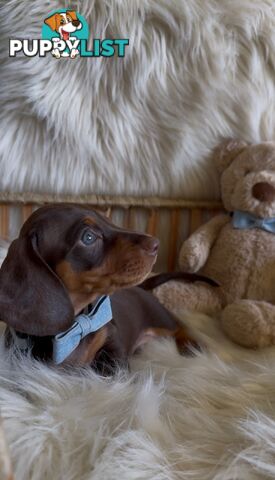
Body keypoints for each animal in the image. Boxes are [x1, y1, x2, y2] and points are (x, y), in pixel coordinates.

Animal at [0, 204, 198, 374]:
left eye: (107, 220)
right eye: (88, 237)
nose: (156, 244)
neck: (74, 328)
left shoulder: (112, 339)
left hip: (158, 316)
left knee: (179, 326)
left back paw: (190, 345)